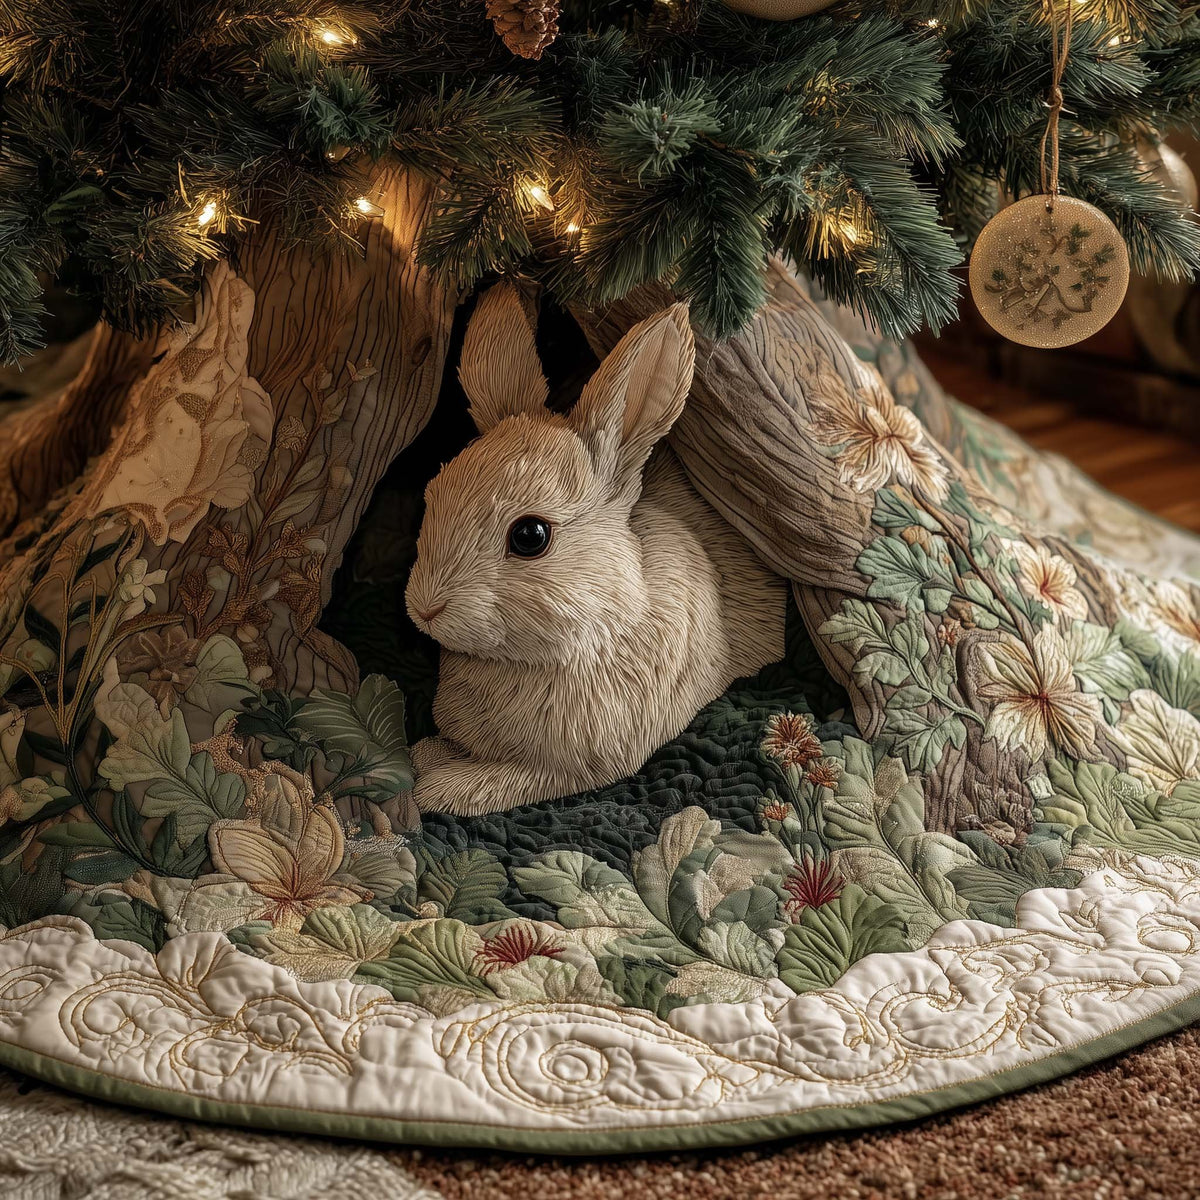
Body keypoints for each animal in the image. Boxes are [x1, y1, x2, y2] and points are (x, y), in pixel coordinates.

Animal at [405, 282, 786, 815]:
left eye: (530, 536)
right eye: (433, 493)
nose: (425, 609)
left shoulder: (575, 766)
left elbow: (503, 782)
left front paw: (437, 787)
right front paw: (427, 755)